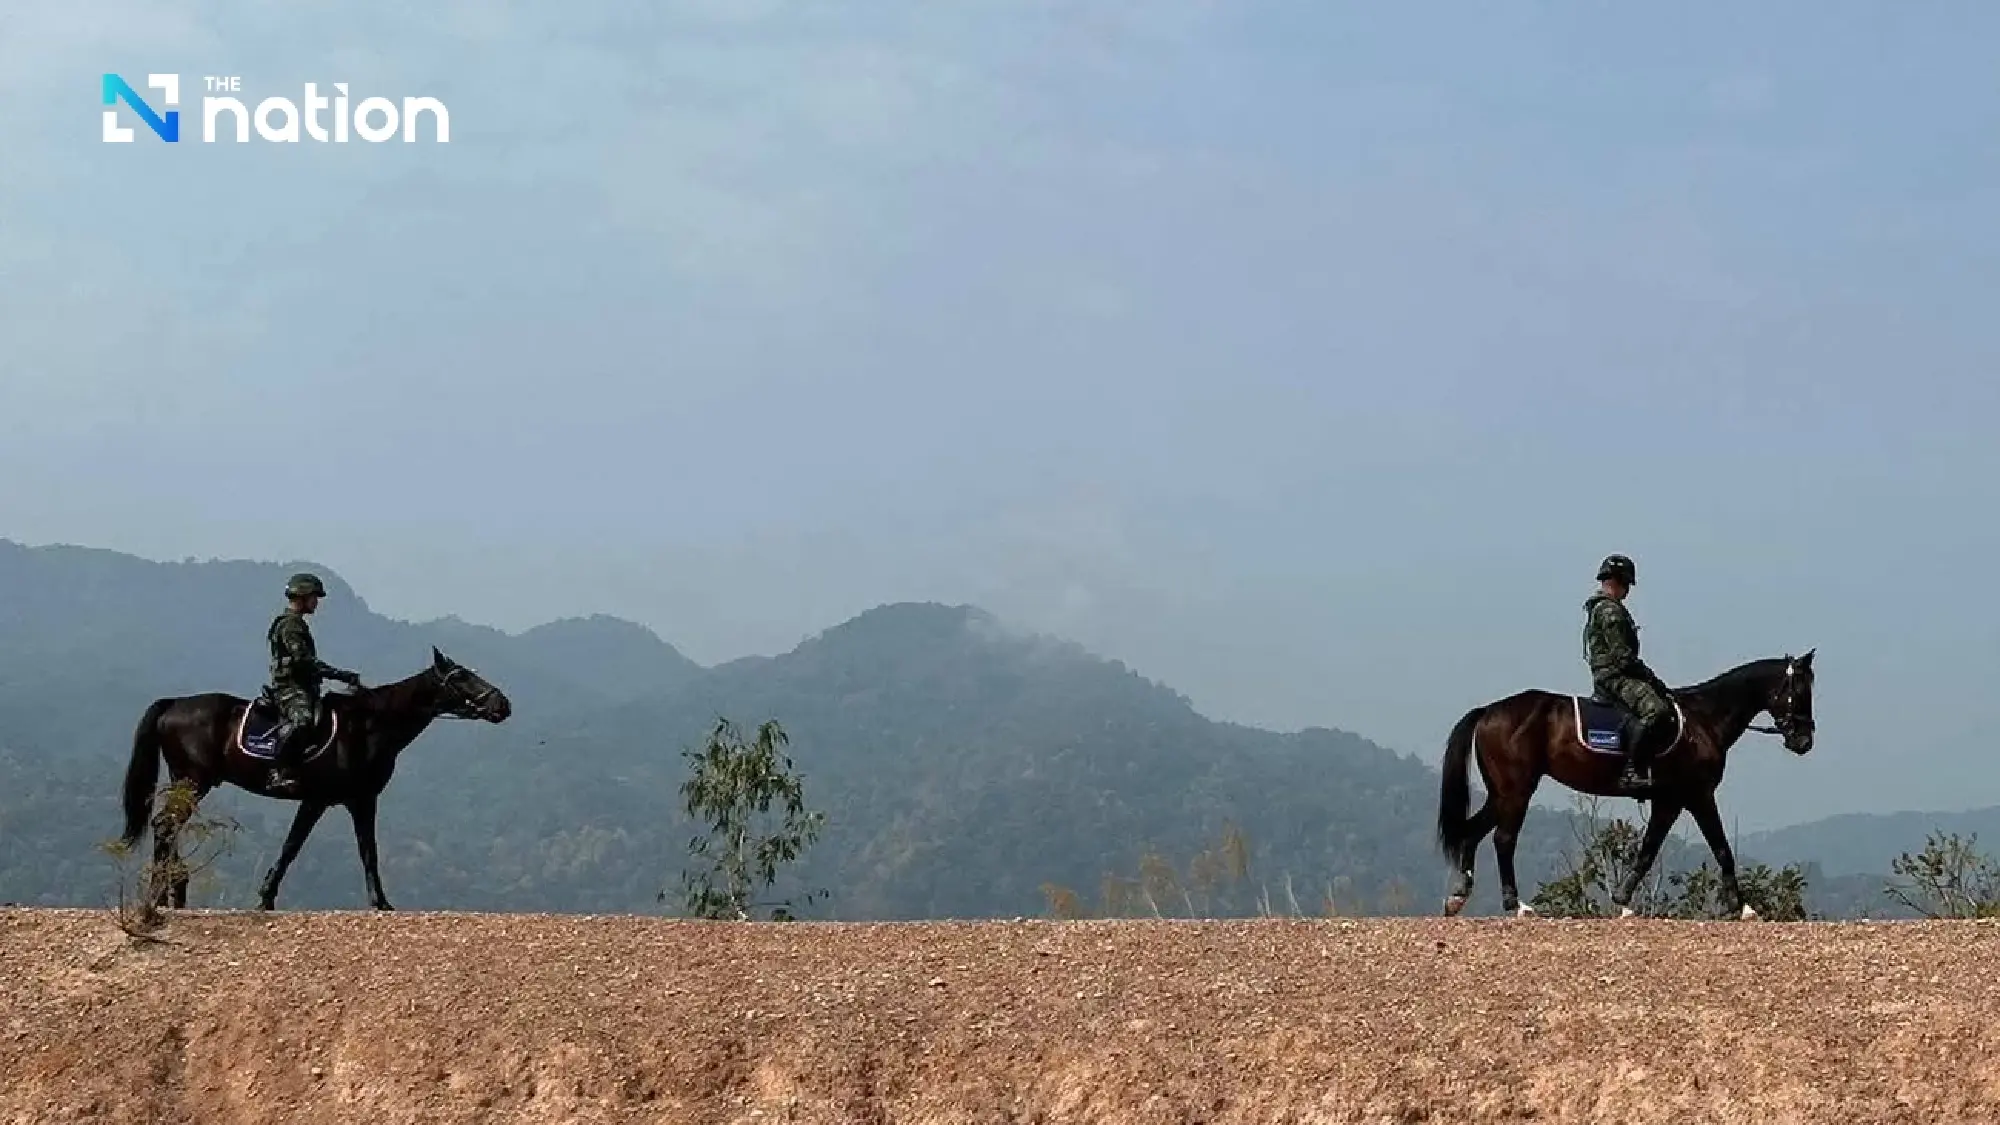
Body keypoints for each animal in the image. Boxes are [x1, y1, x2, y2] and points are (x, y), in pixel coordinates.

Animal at [117, 647, 511, 911]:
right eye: (461, 677)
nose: (503, 706)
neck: (370, 725)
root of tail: (173, 704)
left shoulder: (355, 800)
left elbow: (353, 849)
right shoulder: (329, 799)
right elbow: (307, 847)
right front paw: (380, 903)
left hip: (187, 782)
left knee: (167, 825)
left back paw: (174, 890)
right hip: (194, 780)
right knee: (165, 824)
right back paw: (161, 893)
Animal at [1435, 650, 1815, 919]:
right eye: (1800, 690)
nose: (1804, 742)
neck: (1703, 720)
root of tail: (1488, 711)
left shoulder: (1670, 800)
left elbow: (1648, 849)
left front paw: (1623, 901)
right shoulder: (1697, 795)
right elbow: (1721, 848)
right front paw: (1746, 908)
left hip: (1502, 792)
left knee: (1473, 832)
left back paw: (1458, 898)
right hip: (1517, 791)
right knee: (1503, 839)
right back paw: (1517, 905)